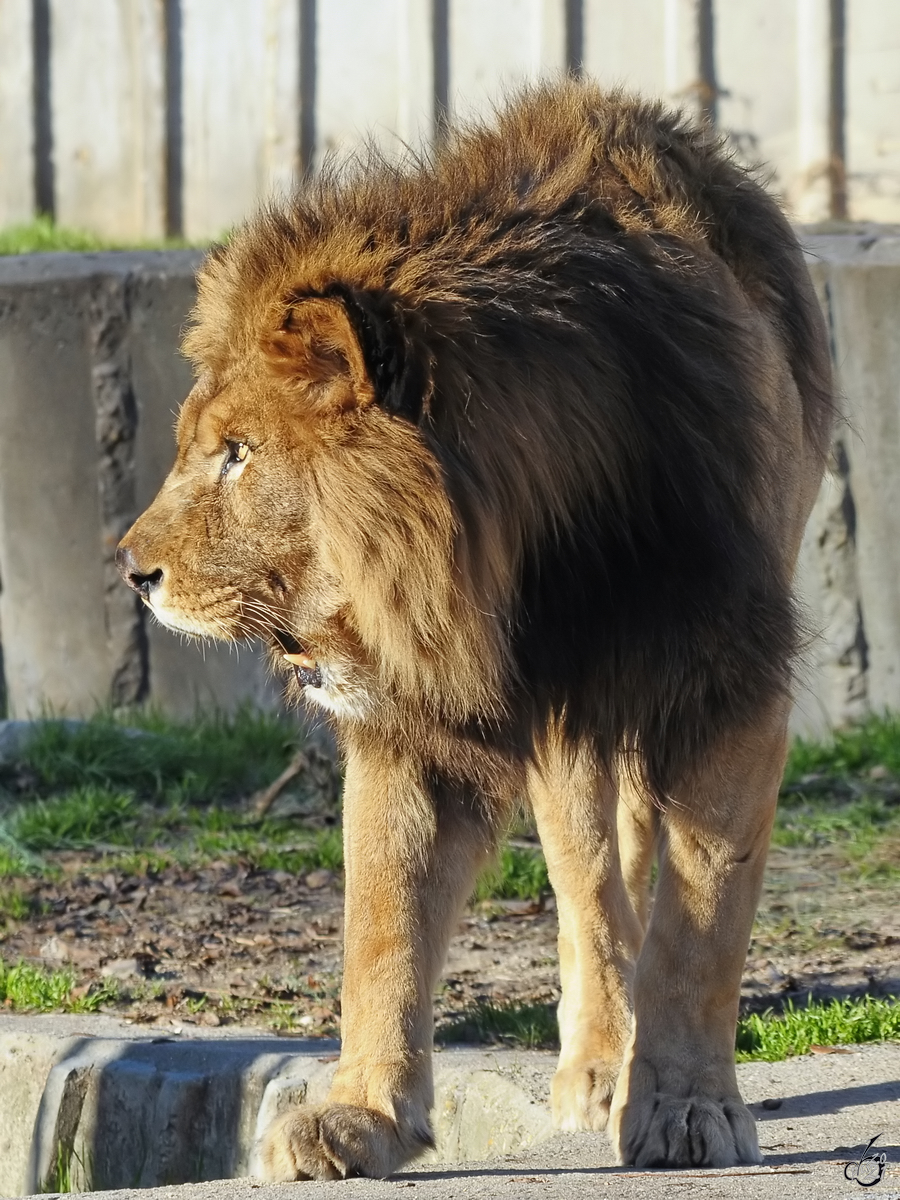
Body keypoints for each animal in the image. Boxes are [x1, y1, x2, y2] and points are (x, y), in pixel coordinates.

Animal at [116, 82, 835, 1180]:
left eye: (239, 453)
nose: (132, 570)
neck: (524, 557)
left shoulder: (727, 681)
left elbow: (701, 923)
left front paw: (687, 1109)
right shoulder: (419, 724)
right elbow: (383, 929)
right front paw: (359, 1117)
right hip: (565, 736)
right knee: (590, 886)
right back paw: (597, 1064)